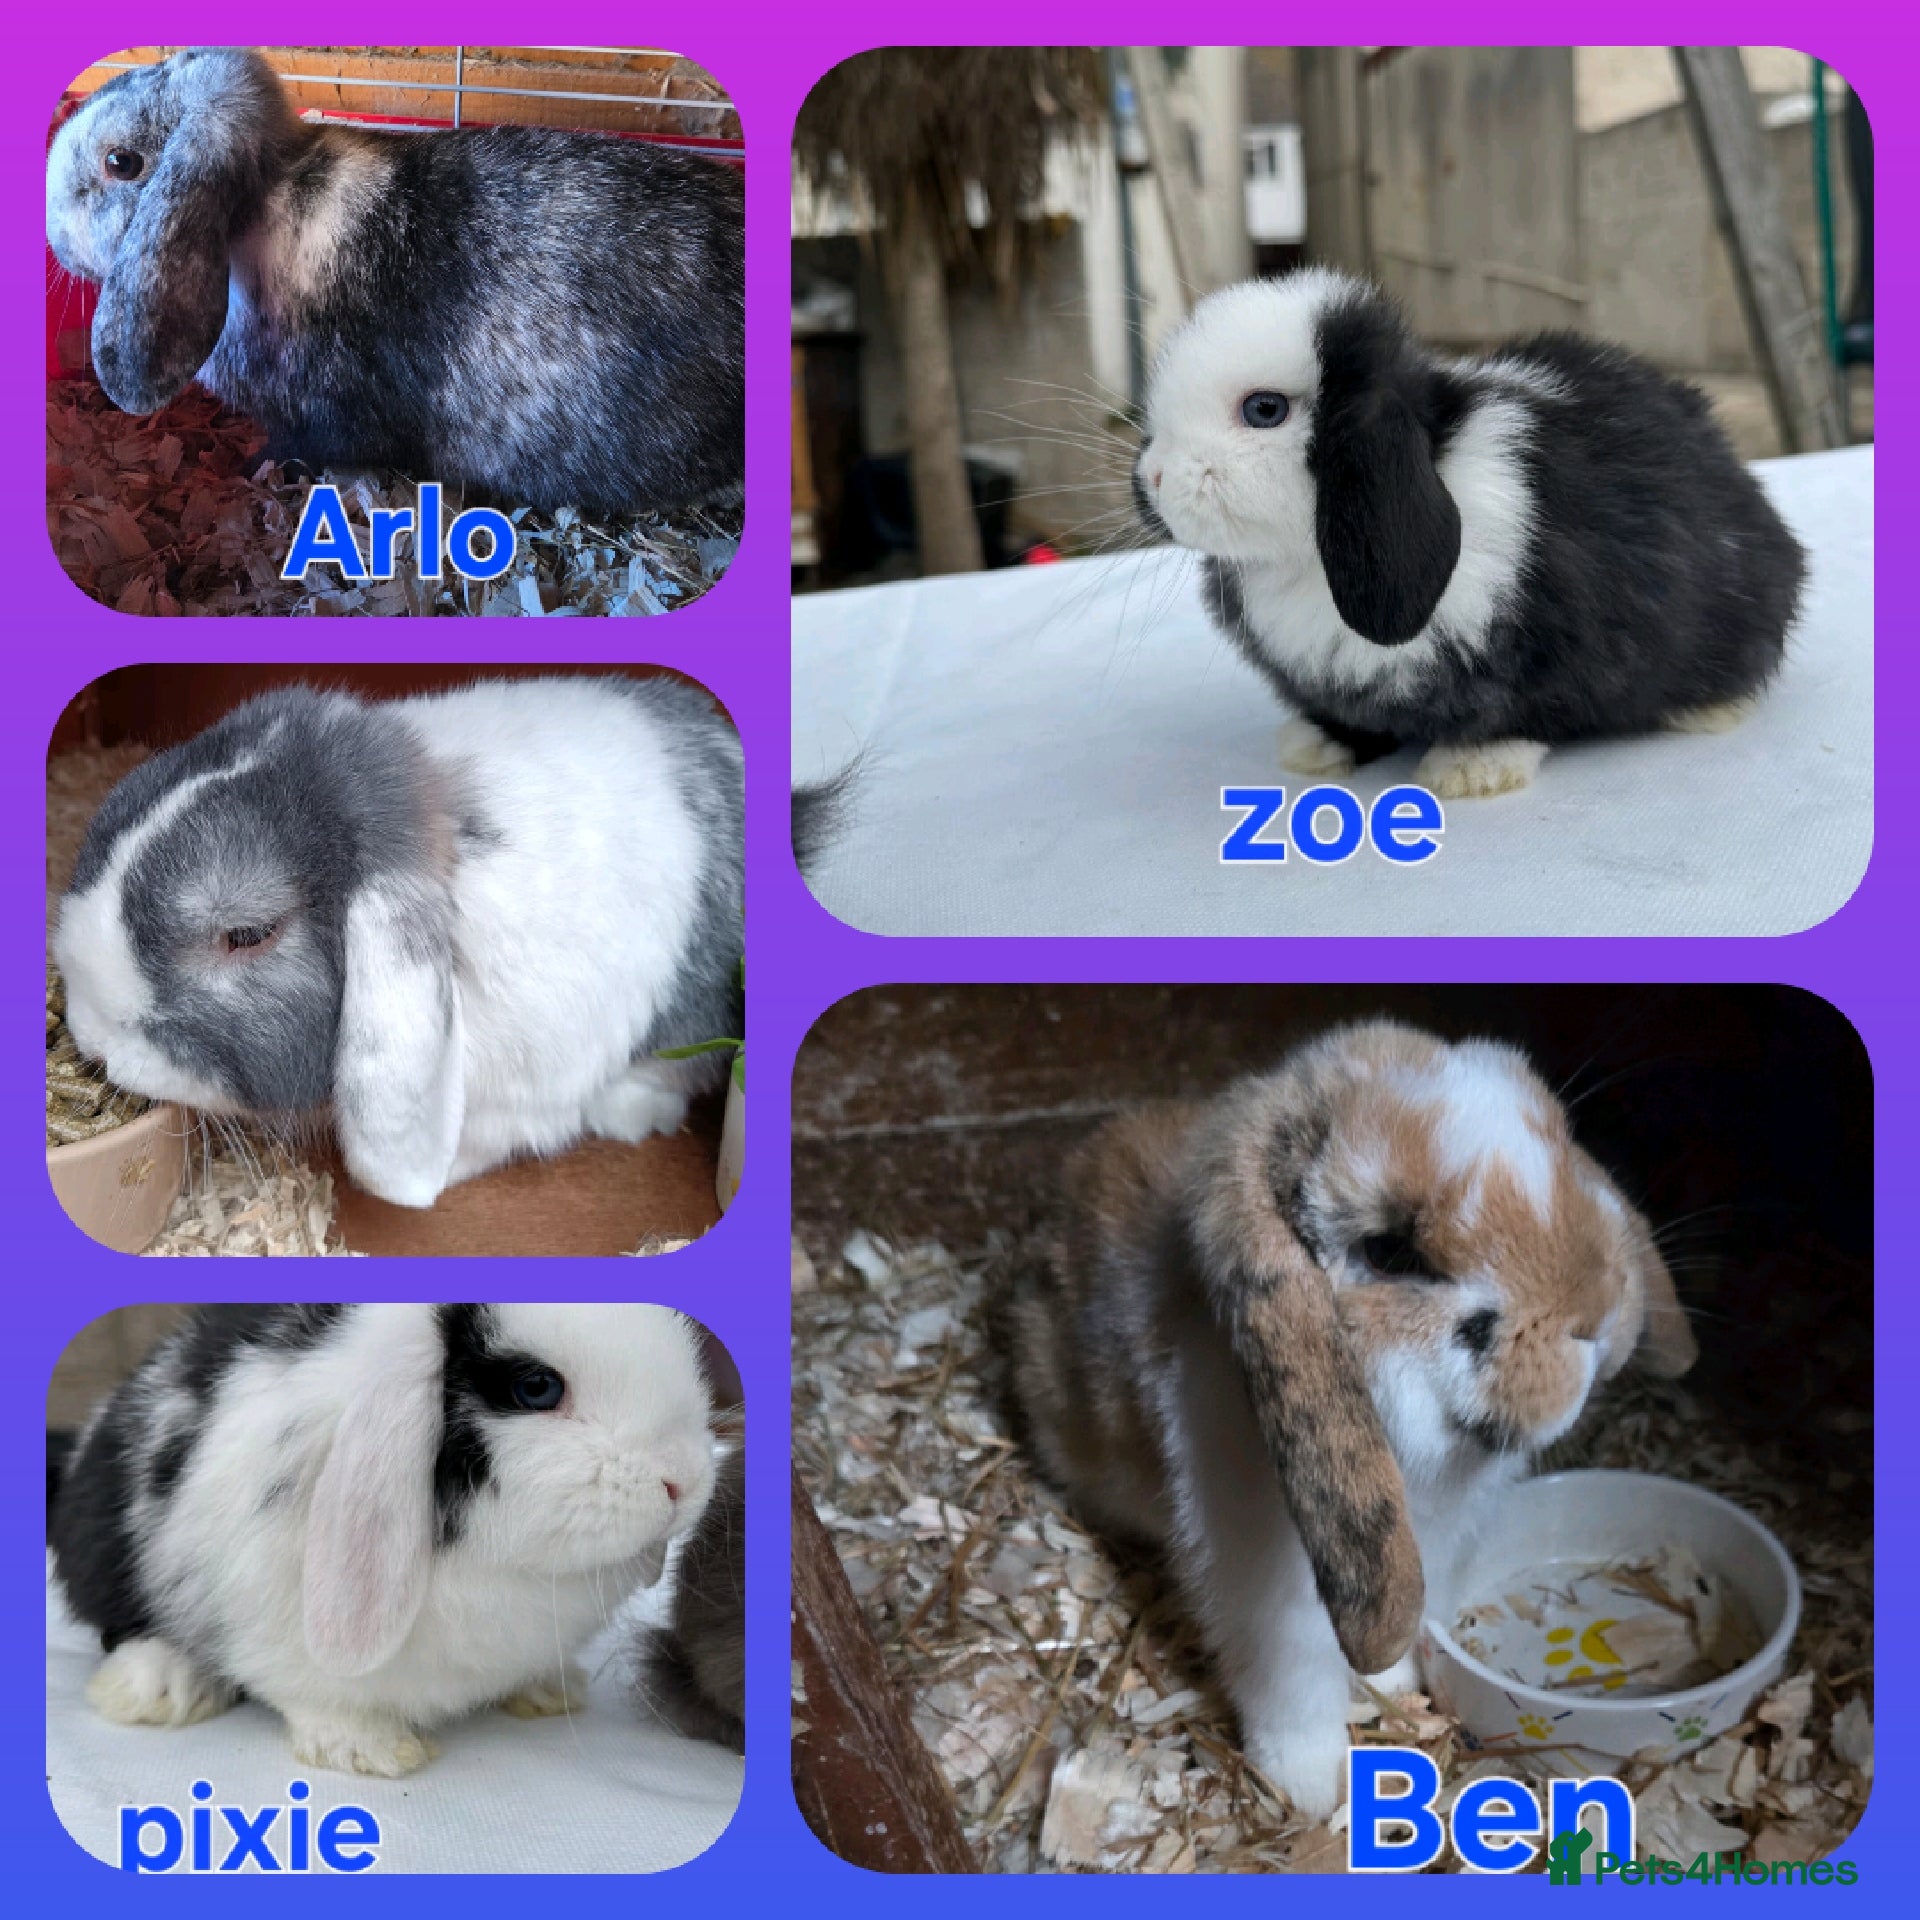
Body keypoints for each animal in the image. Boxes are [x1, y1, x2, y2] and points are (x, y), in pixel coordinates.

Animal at [47, 1302, 718, 1776]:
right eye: (536, 1388)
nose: (684, 1480)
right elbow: (317, 1695)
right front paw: (371, 1750)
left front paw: (549, 1689)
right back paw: (160, 1687)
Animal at [1002, 1020, 1697, 1821]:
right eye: (1389, 1250)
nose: (1600, 1312)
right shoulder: (1268, 1594)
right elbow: (1293, 1686)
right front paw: (1313, 1788)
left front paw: (1391, 1689)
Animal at [1133, 270, 1806, 798]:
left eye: (1264, 410)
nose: (1154, 477)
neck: (1307, 563)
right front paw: (1314, 748)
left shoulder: (1542, 650)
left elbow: (1517, 713)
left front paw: (1470, 771)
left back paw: (1711, 709)